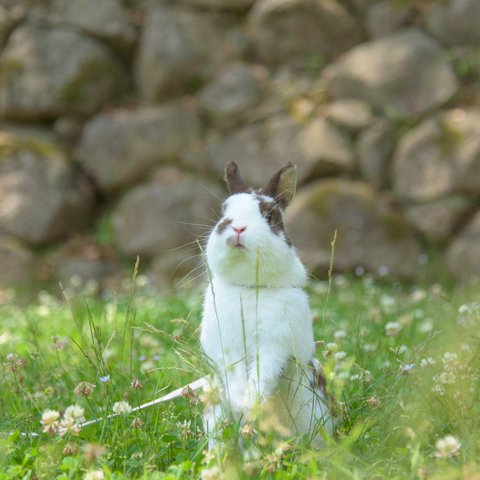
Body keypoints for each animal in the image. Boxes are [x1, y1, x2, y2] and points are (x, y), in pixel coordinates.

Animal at [199, 162, 334, 450]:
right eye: (223, 215)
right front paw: (241, 404)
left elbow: (263, 374)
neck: (251, 288)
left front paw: (250, 405)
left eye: (270, 216)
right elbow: (235, 374)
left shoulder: (274, 345)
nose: (238, 228)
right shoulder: (228, 348)